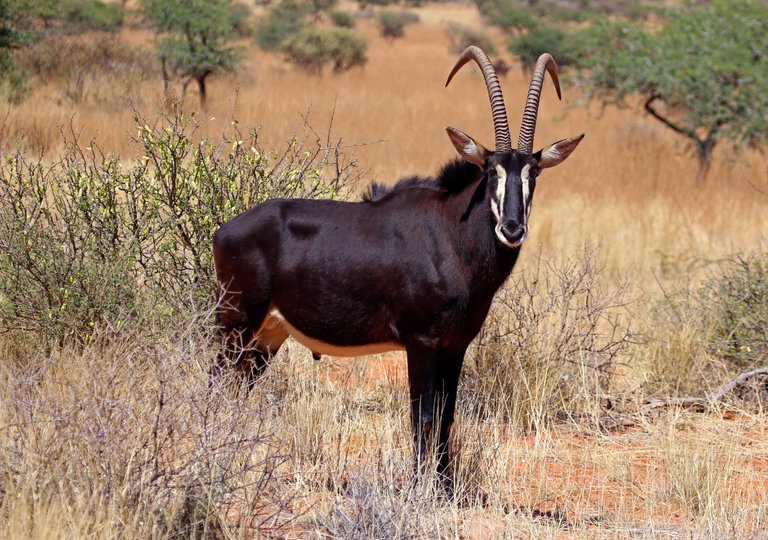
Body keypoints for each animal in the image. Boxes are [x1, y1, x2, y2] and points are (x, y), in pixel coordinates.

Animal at [210, 44, 584, 478]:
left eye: (533, 173)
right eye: (491, 171)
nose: (511, 228)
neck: (451, 236)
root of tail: (225, 230)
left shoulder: (455, 346)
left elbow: (446, 417)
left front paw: (443, 486)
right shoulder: (420, 342)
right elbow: (421, 417)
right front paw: (418, 486)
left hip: (268, 334)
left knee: (239, 386)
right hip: (236, 321)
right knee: (218, 380)